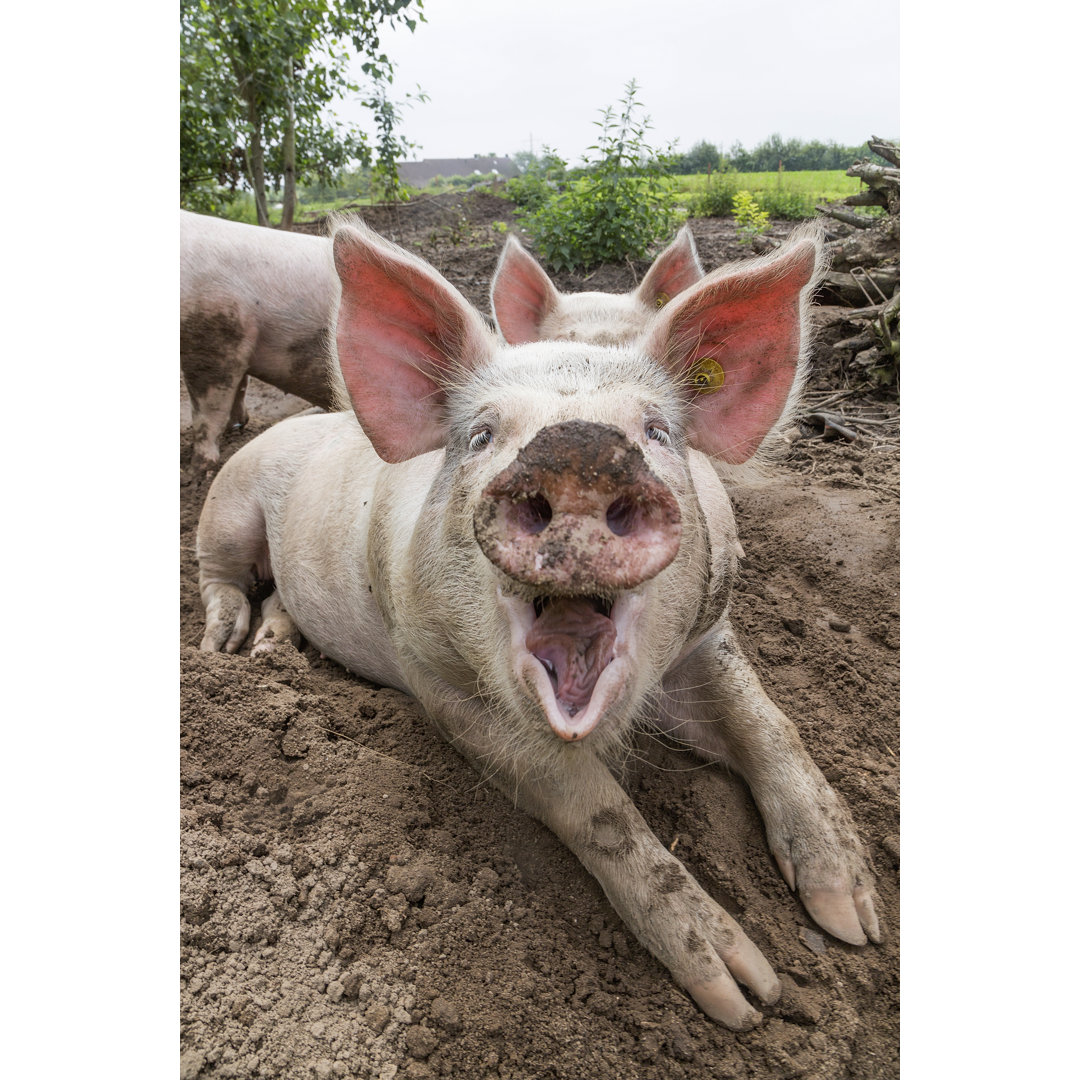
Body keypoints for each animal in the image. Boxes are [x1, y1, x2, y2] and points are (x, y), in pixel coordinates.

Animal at [179, 210, 336, 473]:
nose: (192, 469)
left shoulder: (217, 334)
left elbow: (208, 411)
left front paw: (197, 468)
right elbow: (240, 388)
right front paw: (239, 425)